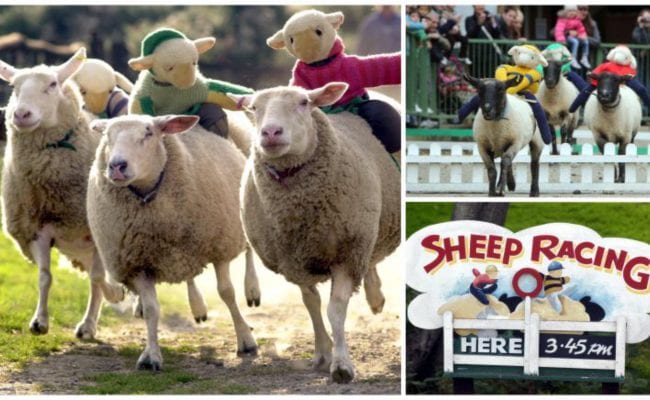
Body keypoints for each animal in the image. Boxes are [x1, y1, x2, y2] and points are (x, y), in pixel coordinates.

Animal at [0, 48, 125, 340]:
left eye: (52, 84)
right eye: (14, 87)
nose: (21, 115)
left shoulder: (97, 229)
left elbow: (98, 278)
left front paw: (115, 294)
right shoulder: (38, 226)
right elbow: (45, 276)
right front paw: (39, 322)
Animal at [86, 113, 258, 372]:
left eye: (148, 132)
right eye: (107, 135)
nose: (116, 166)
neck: (148, 198)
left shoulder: (218, 247)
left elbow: (227, 293)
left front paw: (246, 340)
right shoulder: (138, 263)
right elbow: (151, 310)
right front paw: (151, 356)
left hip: (239, 218)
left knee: (248, 251)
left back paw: (252, 289)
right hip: (183, 251)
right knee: (190, 276)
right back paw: (198, 307)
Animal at [228, 82, 400, 384]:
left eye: (303, 102)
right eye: (254, 107)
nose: (270, 132)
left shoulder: (347, 253)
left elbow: (335, 309)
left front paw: (342, 366)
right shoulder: (294, 261)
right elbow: (311, 304)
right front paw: (323, 354)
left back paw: (375, 298)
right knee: (370, 262)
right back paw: (376, 298)